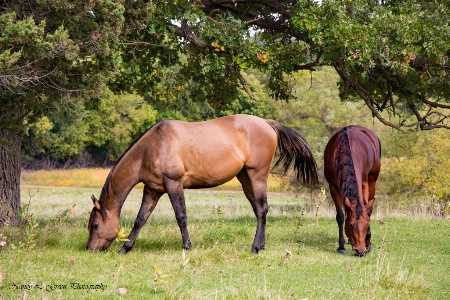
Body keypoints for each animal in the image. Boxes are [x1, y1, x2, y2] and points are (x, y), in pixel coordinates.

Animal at [88, 114, 318, 253]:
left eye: (95, 224)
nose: (90, 249)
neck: (152, 146)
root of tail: (267, 124)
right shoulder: (153, 189)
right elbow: (140, 219)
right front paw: (125, 248)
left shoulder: (174, 184)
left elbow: (181, 216)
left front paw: (186, 246)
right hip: (245, 178)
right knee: (258, 210)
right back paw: (260, 245)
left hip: (258, 176)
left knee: (262, 210)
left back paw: (255, 248)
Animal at [324, 125, 380, 256]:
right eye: (350, 224)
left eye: (366, 224)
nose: (361, 251)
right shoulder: (333, 186)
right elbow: (340, 216)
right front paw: (341, 246)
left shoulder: (363, 183)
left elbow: (367, 210)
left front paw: (368, 243)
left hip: (372, 179)